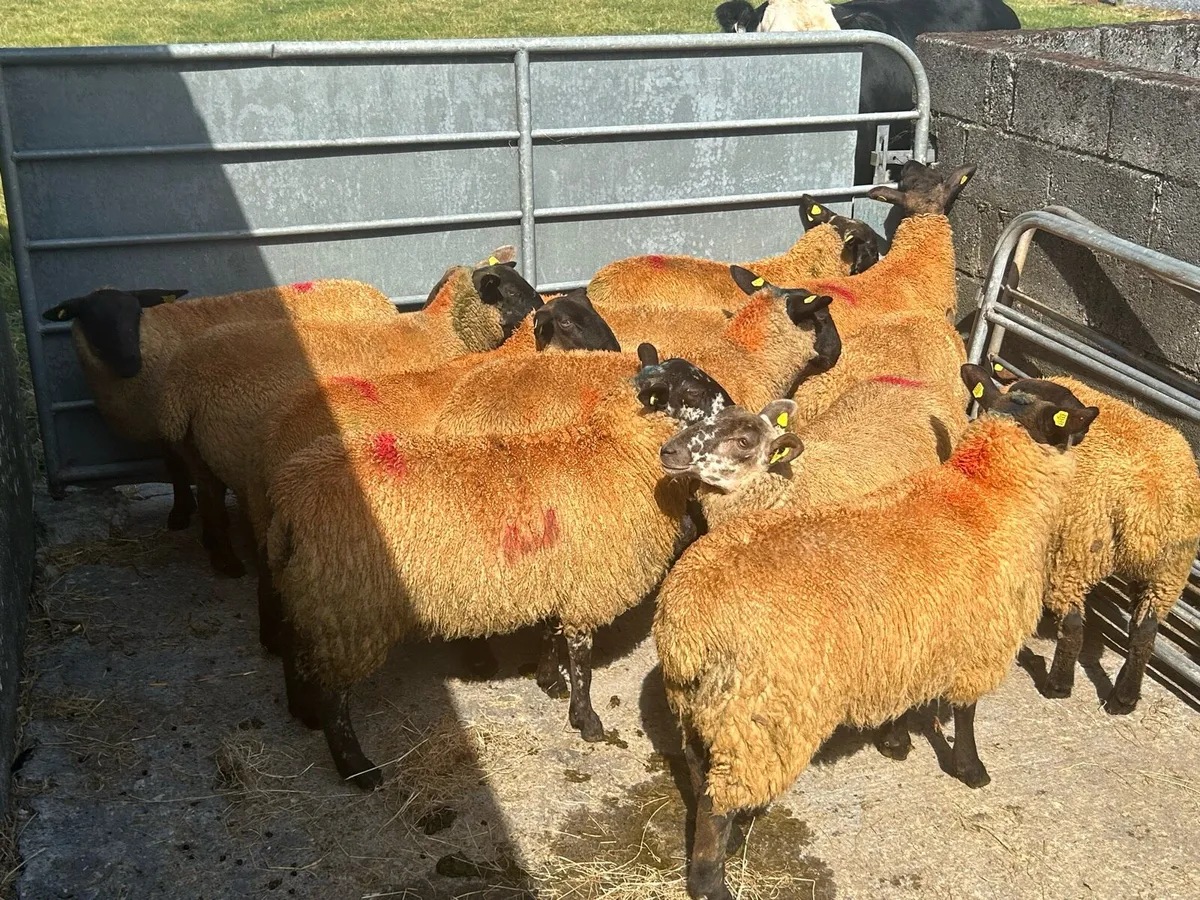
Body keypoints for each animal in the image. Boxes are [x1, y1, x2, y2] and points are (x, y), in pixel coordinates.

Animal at [41, 278, 400, 535]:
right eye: (90, 319)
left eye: (136, 313)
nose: (130, 362)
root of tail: (376, 295)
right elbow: (174, 466)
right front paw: (184, 510)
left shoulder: (169, 422)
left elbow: (177, 467)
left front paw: (181, 512)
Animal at [157, 255, 542, 577]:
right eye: (513, 292)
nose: (543, 309)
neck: (441, 332)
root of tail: (179, 383)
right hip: (229, 447)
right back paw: (231, 563)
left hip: (199, 450)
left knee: (208, 496)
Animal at [267, 353, 740, 789]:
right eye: (691, 392)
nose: (740, 415)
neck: (612, 451)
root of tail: (290, 502)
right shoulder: (586, 585)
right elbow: (582, 658)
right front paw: (587, 721)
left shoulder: (556, 573)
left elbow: (551, 634)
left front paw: (550, 682)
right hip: (348, 605)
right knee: (335, 695)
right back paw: (356, 766)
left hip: (307, 588)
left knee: (292, 645)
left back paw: (302, 713)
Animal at [654, 366, 1099, 900]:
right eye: (1071, 413)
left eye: (744, 438)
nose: (670, 451)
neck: (986, 493)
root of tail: (687, 622)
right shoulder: (983, 638)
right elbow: (968, 711)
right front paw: (971, 770)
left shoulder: (911, 640)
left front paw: (895, 741)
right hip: (760, 714)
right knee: (719, 802)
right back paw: (712, 881)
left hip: (699, 704)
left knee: (701, 777)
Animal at [969, 367, 1200, 714]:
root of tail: (1147, 501)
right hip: (1169, 572)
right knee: (1145, 631)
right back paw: (1123, 698)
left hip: (1073, 555)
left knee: (1074, 626)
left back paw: (1058, 686)